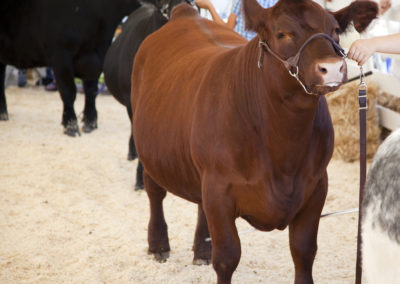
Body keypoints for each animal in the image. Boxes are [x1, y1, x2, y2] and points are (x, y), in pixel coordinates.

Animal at [0, 0, 143, 136]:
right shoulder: (61, 56)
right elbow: (68, 92)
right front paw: (71, 126)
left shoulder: (97, 55)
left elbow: (91, 91)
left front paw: (90, 122)